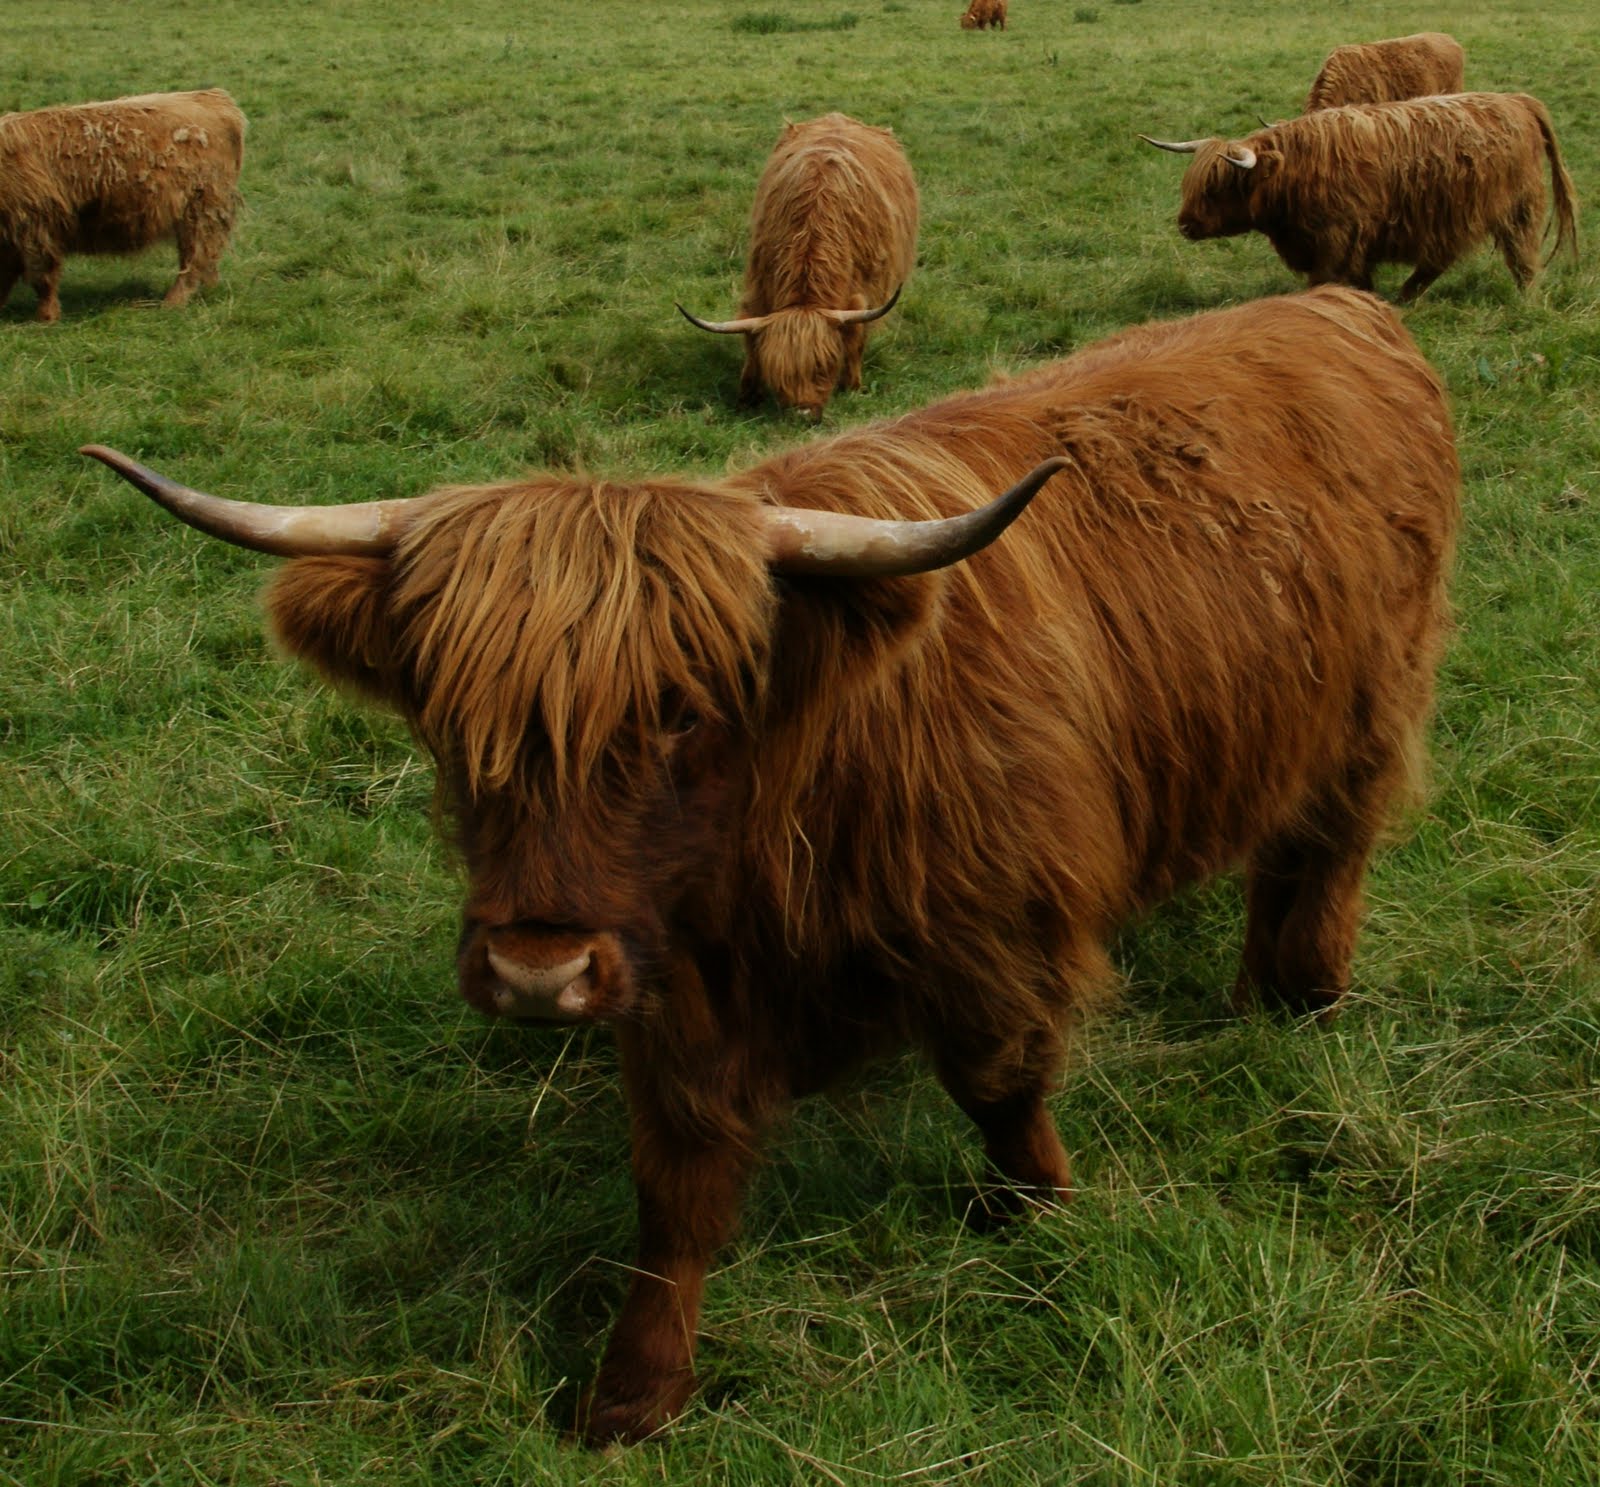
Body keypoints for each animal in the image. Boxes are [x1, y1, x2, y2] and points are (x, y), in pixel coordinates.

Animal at [0, 89, 244, 323]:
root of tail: (213, 97)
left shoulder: (34, 229)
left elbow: (42, 278)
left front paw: (46, 318)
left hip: (200, 212)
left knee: (194, 259)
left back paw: (172, 303)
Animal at [82, 285, 1459, 1444]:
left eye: (683, 713)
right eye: (448, 720)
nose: (534, 972)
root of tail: (1339, 304)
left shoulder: (997, 928)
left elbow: (1001, 1084)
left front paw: (1038, 1213)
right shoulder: (667, 978)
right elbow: (677, 1182)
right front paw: (635, 1388)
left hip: (1368, 715)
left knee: (1325, 853)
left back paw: (1300, 996)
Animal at [677, 113, 917, 419]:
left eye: (824, 367)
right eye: (780, 375)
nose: (804, 414)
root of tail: (837, 116)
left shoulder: (868, 291)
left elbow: (856, 338)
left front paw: (852, 385)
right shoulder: (759, 285)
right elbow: (751, 338)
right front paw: (747, 395)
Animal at [1141, 92, 1578, 301]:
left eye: (1217, 188)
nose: (1185, 224)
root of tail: (1518, 100)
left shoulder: (1336, 236)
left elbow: (1324, 278)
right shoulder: (1353, 241)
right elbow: (1359, 278)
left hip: (1515, 209)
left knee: (1521, 258)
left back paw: (1525, 300)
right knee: (1439, 260)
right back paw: (1405, 296)